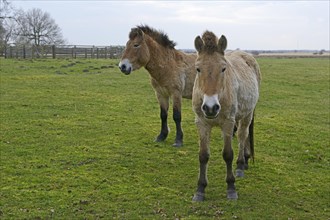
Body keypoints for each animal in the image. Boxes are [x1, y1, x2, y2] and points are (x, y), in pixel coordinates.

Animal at [192, 31, 262, 201]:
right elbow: (203, 155)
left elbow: (228, 154)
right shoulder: (201, 123)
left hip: (247, 114)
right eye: (198, 69)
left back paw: (241, 165)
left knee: (243, 135)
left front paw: (231, 187)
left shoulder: (228, 123)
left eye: (223, 68)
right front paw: (200, 189)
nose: (210, 108)